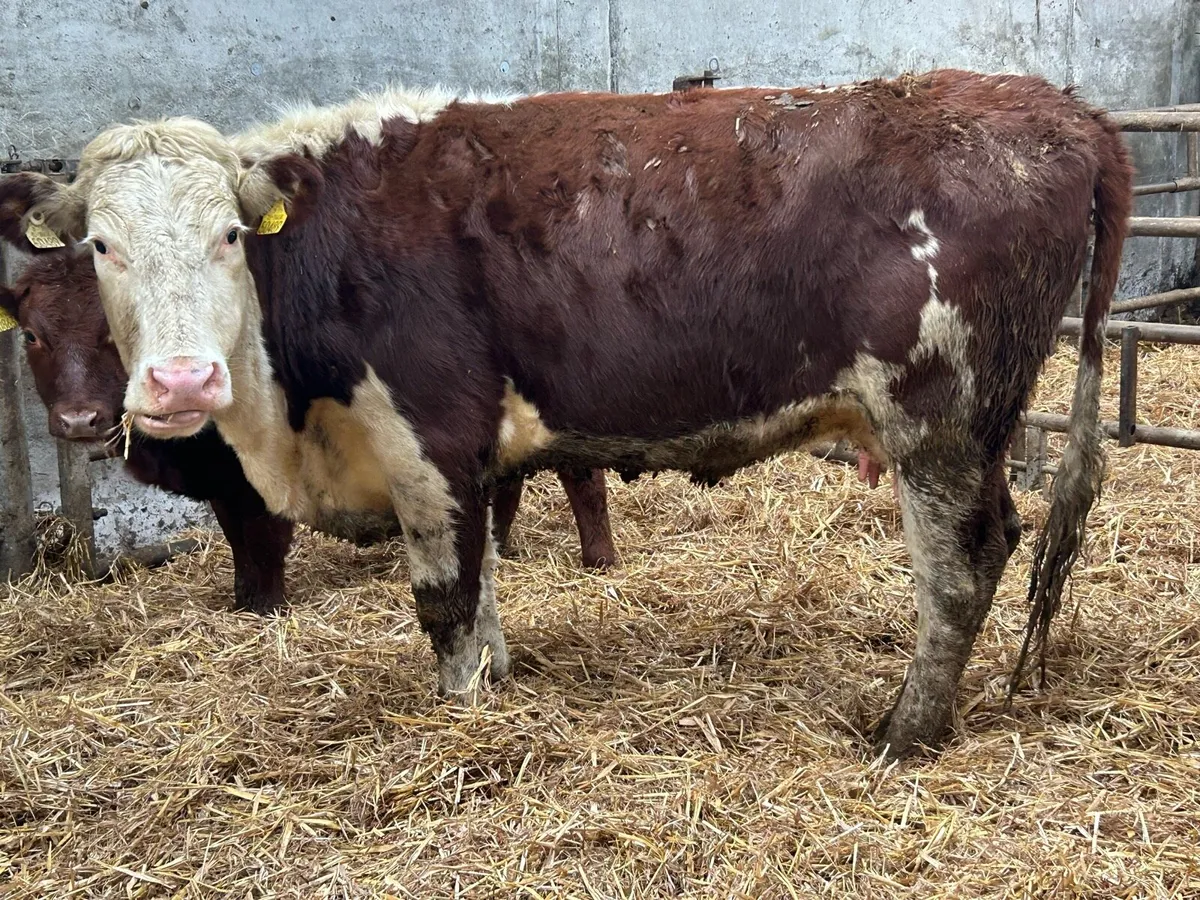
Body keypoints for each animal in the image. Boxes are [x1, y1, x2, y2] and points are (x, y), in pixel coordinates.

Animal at [0, 248, 618, 613]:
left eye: (112, 331)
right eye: (31, 335)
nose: (78, 418)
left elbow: (264, 544)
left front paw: (265, 609)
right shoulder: (223, 481)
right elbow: (238, 543)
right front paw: (241, 601)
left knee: (582, 477)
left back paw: (599, 559)